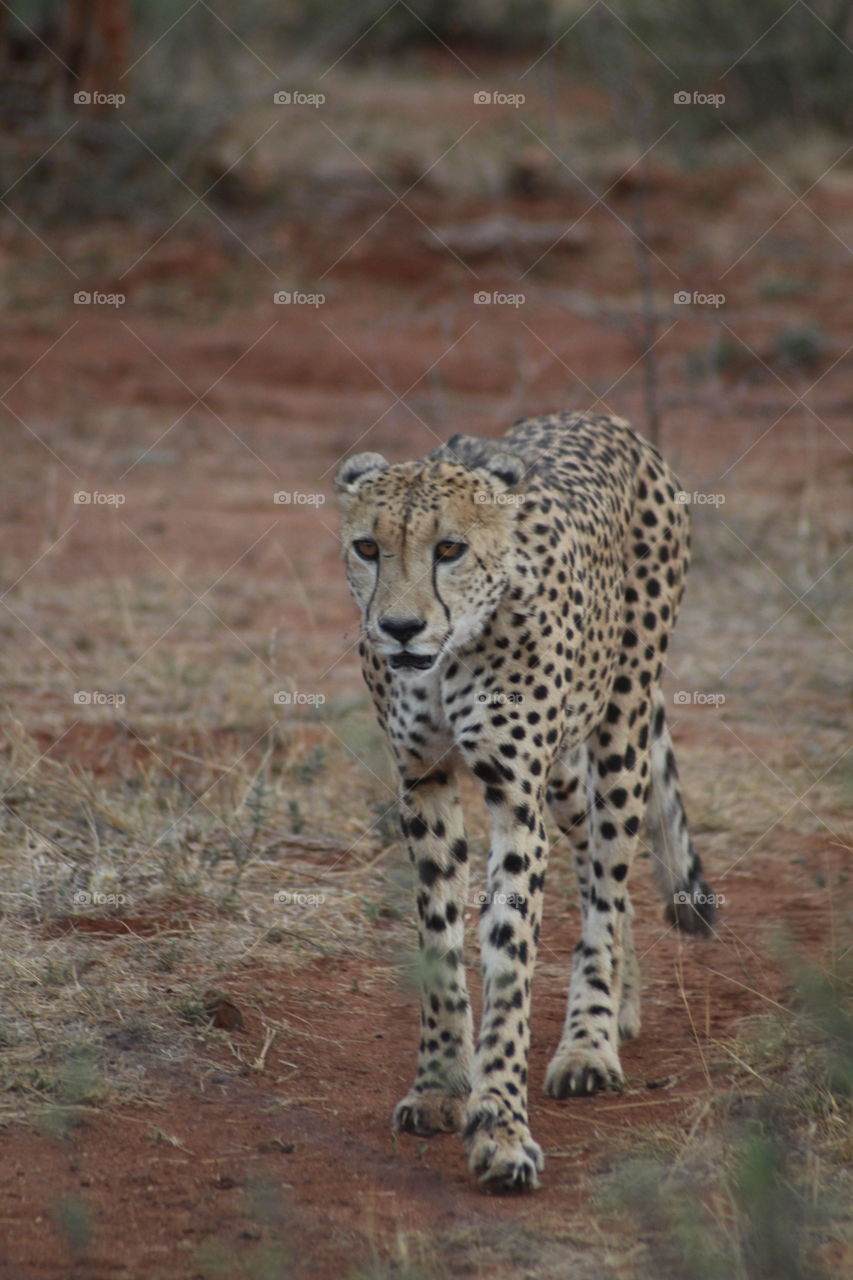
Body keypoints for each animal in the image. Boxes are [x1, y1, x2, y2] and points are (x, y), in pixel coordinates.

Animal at [335, 409, 712, 1187]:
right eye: (367, 547)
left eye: (450, 548)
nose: (399, 628)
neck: (448, 656)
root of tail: (604, 417)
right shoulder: (424, 786)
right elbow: (441, 947)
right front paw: (439, 1087)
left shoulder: (514, 797)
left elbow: (508, 962)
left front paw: (500, 1128)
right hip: (563, 775)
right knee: (605, 870)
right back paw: (623, 1003)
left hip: (619, 728)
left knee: (607, 880)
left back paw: (590, 1042)